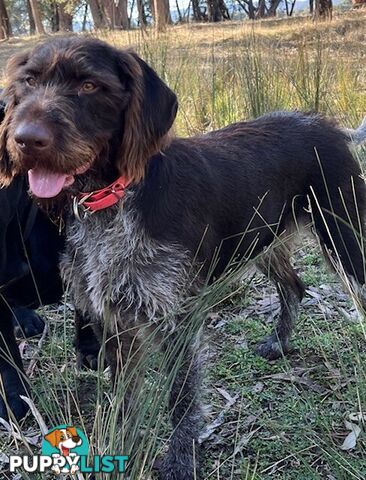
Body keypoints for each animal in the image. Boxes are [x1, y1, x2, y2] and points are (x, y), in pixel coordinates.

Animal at [0, 35, 366, 478]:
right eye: (29, 81)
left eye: (89, 85)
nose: (25, 139)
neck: (112, 202)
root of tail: (327, 125)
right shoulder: (115, 323)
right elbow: (125, 399)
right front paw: (122, 447)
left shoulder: (177, 320)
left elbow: (181, 400)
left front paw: (180, 459)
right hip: (262, 242)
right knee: (295, 287)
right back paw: (278, 343)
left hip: (344, 242)